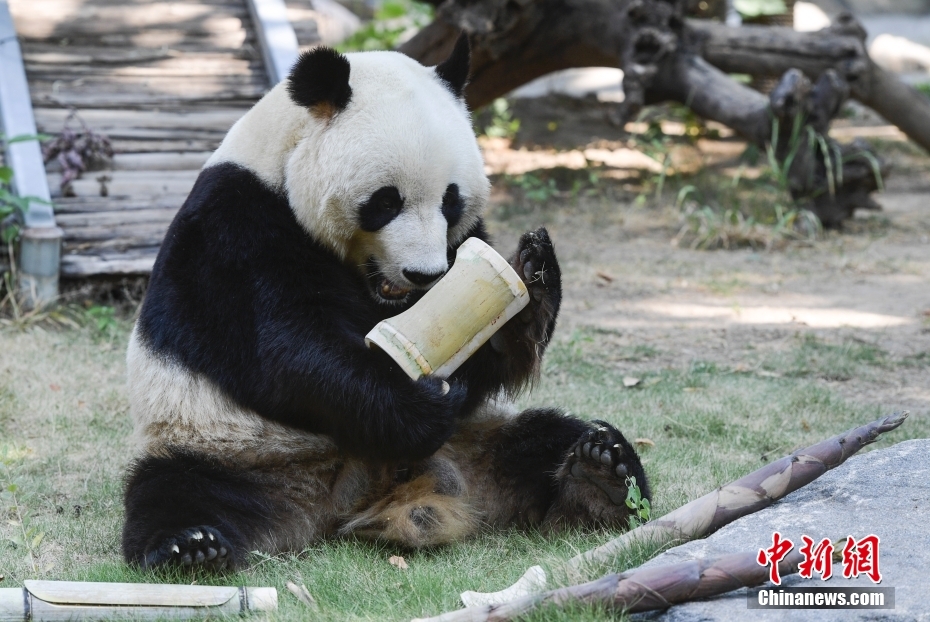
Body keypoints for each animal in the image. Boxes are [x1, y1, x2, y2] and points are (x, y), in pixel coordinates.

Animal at [121, 34, 644, 572]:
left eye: (450, 200)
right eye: (386, 201)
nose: (425, 275)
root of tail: (358, 496)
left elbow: (483, 360)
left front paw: (533, 273)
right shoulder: (236, 228)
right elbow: (284, 350)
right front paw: (421, 405)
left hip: (477, 437)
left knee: (544, 440)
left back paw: (598, 478)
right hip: (229, 445)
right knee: (179, 490)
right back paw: (191, 546)